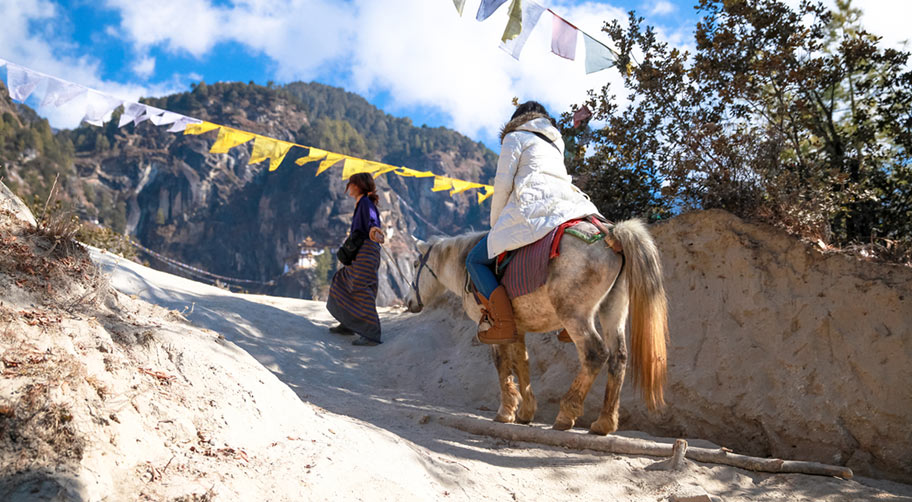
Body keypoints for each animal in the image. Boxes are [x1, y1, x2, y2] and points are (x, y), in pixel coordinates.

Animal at [406, 221, 668, 436]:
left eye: (415, 263)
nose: (409, 302)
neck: (464, 264)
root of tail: (611, 236)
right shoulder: (516, 329)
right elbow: (522, 364)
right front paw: (525, 412)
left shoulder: (493, 327)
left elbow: (502, 365)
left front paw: (506, 412)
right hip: (613, 310)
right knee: (618, 358)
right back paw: (604, 423)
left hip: (575, 316)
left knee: (595, 354)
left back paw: (566, 414)